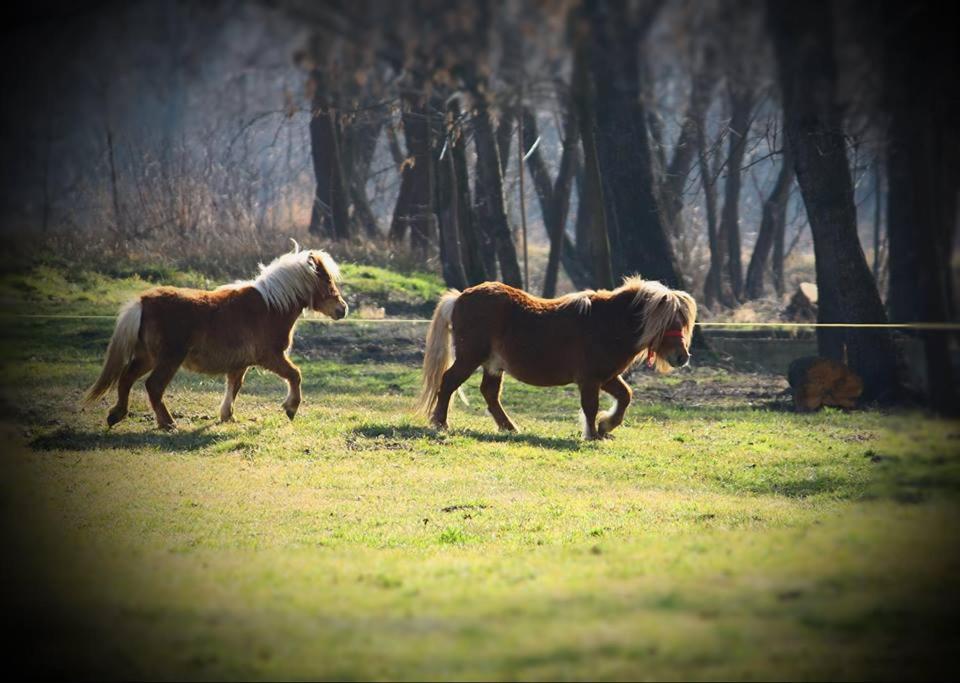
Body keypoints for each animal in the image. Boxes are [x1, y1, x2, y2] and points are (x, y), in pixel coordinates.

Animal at [82, 243, 344, 430]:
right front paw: (291, 408)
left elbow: (234, 387)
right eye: (326, 280)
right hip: (168, 359)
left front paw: (227, 416)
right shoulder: (270, 357)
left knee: (126, 379)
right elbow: (295, 375)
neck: (269, 307)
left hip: (147, 357)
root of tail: (143, 301)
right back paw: (168, 423)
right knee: (153, 386)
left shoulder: (240, 363)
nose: (342, 309)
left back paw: (117, 415)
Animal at [416, 276, 692, 440]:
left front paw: (605, 427)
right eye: (668, 322)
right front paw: (592, 434)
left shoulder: (606, 377)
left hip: (493, 365)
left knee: (489, 393)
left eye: (682, 322)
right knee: (449, 382)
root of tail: (459, 297)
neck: (608, 323)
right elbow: (590, 407)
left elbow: (625, 396)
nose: (682, 357)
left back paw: (509, 427)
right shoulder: (590, 379)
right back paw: (440, 423)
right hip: (470, 358)